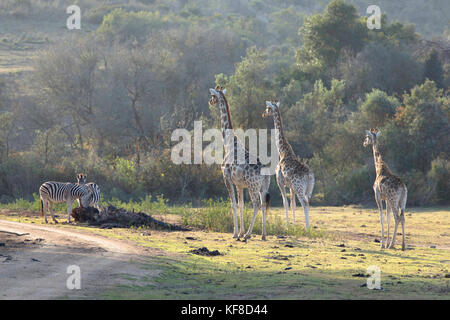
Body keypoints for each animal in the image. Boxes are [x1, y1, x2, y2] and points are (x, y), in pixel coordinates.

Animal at [208, 86, 270, 239]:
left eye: (213, 95)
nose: (210, 102)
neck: (229, 144)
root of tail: (266, 173)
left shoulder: (227, 178)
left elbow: (234, 205)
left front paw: (236, 234)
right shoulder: (240, 184)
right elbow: (241, 205)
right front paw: (240, 232)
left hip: (253, 186)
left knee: (256, 204)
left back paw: (249, 234)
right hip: (264, 186)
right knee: (263, 204)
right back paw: (263, 235)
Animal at [262, 100, 314, 228]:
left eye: (267, 108)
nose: (263, 114)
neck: (282, 151)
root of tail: (309, 175)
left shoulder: (280, 182)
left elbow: (285, 203)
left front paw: (287, 225)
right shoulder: (290, 186)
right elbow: (292, 204)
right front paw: (293, 225)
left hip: (299, 188)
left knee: (304, 203)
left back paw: (307, 228)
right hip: (308, 189)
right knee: (308, 203)